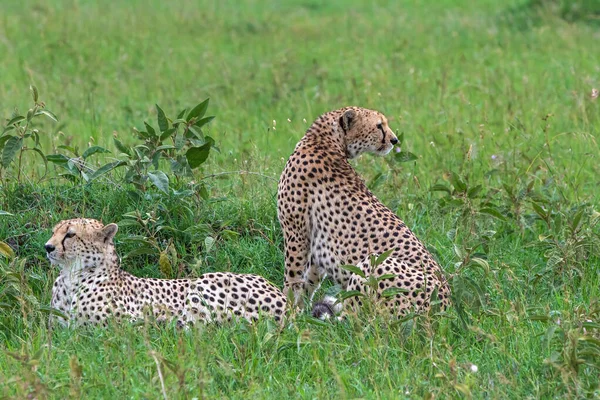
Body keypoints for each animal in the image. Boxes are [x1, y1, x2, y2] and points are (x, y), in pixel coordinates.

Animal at [45, 219, 284, 328]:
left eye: (70, 235)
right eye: (54, 231)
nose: (48, 247)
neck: (71, 276)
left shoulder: (128, 323)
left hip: (201, 285)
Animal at [276, 107, 450, 318]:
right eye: (379, 126)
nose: (394, 140)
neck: (325, 140)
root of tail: (444, 308)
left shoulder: (296, 232)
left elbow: (293, 276)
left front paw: (288, 310)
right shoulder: (315, 242)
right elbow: (309, 279)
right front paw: (299, 310)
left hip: (374, 264)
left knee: (356, 320)